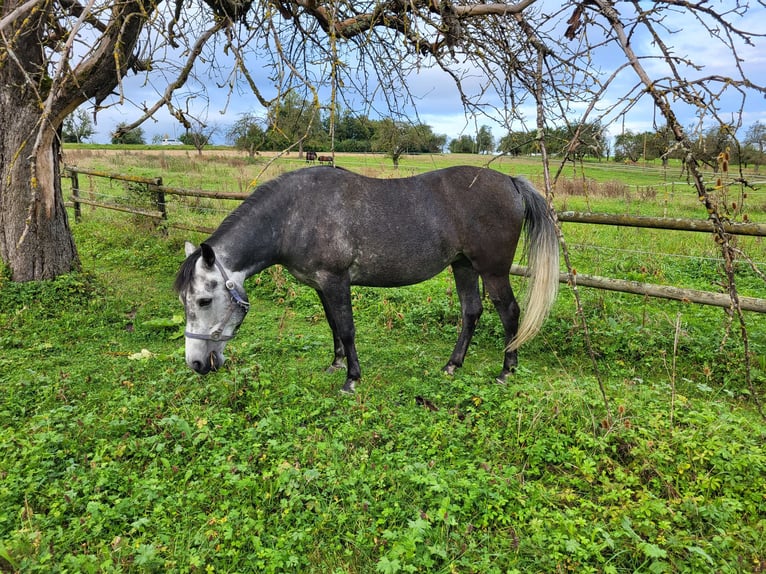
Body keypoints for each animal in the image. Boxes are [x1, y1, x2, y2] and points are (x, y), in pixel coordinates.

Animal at [180, 164, 564, 394]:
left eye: (204, 300)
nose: (195, 364)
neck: (294, 214)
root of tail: (510, 182)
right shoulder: (321, 286)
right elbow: (333, 325)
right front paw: (335, 364)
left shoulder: (336, 281)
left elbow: (347, 328)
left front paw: (351, 379)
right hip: (463, 266)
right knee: (472, 311)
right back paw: (452, 365)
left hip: (492, 270)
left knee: (509, 312)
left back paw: (506, 370)